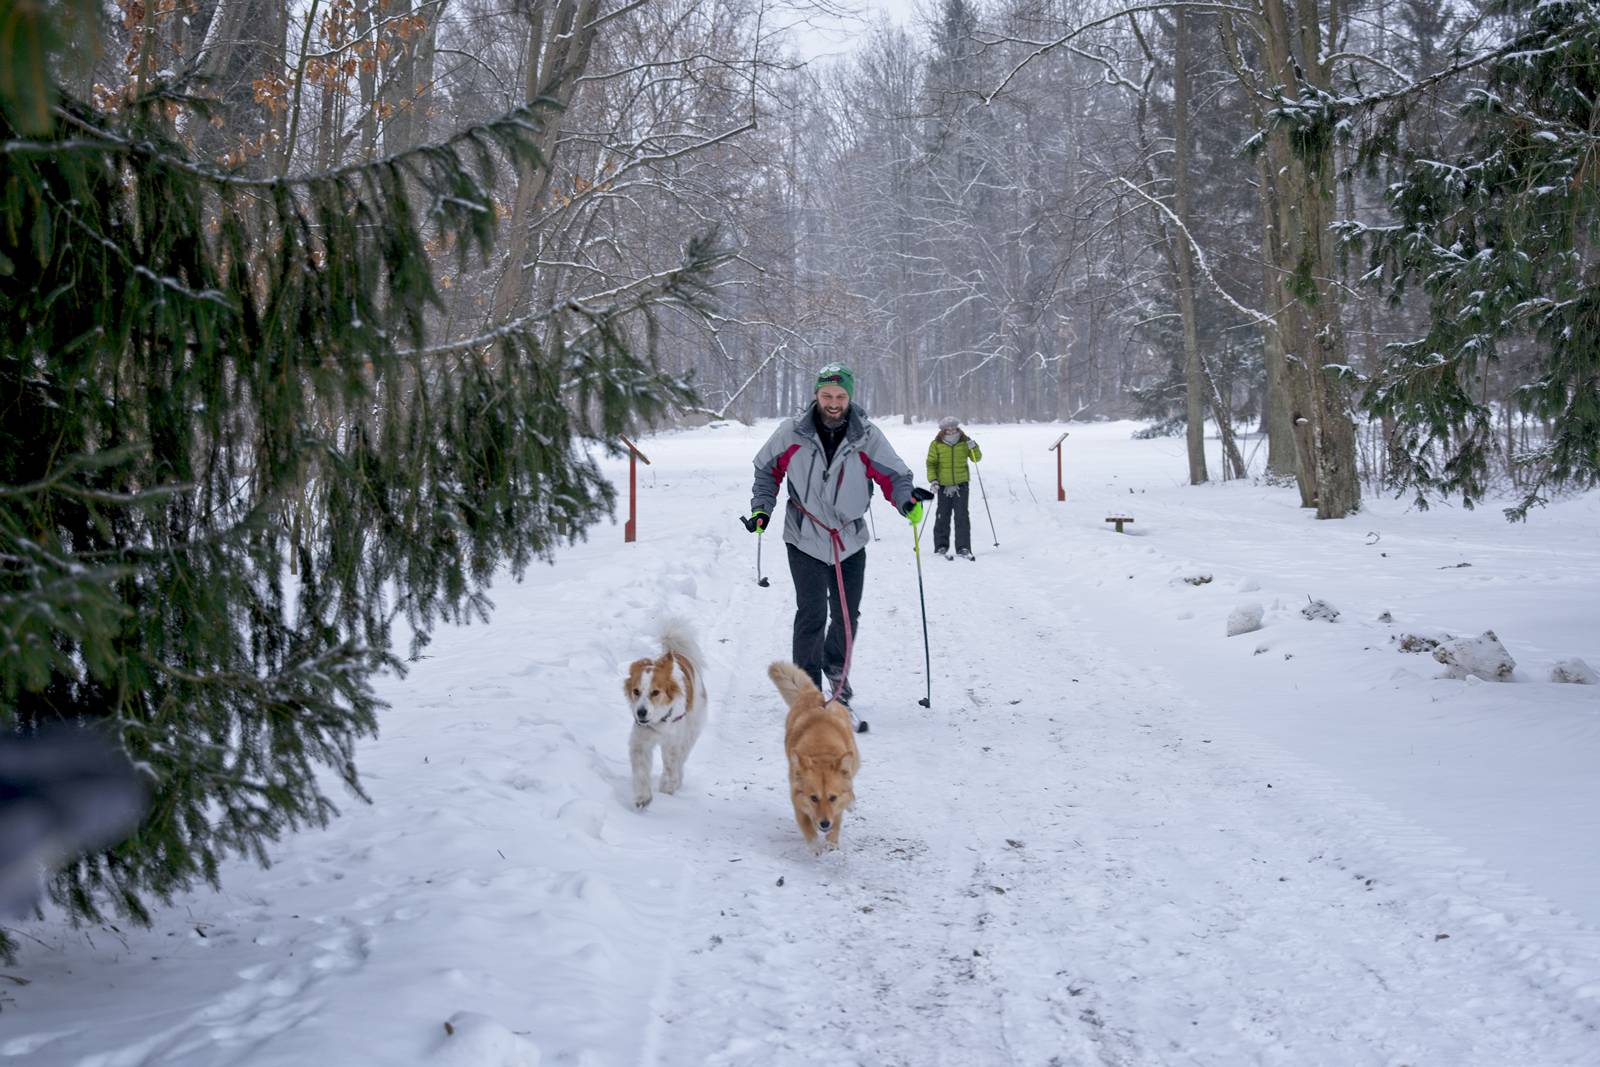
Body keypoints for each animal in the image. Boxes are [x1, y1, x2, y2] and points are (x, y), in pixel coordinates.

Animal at [617, 617, 707, 809]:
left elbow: (671, 767)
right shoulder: (640, 741)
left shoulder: (673, 742)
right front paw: (643, 797)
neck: (658, 721)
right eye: (636, 691)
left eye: (655, 692)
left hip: (690, 732)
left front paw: (667, 788)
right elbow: (641, 770)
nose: (641, 712)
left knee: (681, 759)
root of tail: (677, 653)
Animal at [768, 662, 857, 857]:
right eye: (814, 798)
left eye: (832, 798)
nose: (824, 823)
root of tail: (812, 694)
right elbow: (806, 824)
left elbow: (838, 818)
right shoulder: (797, 795)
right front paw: (815, 845)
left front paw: (831, 842)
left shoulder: (836, 806)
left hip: (855, 759)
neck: (821, 750)